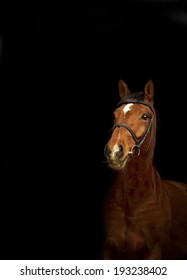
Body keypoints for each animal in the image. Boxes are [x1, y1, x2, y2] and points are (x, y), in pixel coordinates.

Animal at [102, 79, 187, 260]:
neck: (131, 200)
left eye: (145, 116)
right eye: (114, 115)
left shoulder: (153, 251)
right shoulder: (107, 250)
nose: (114, 151)